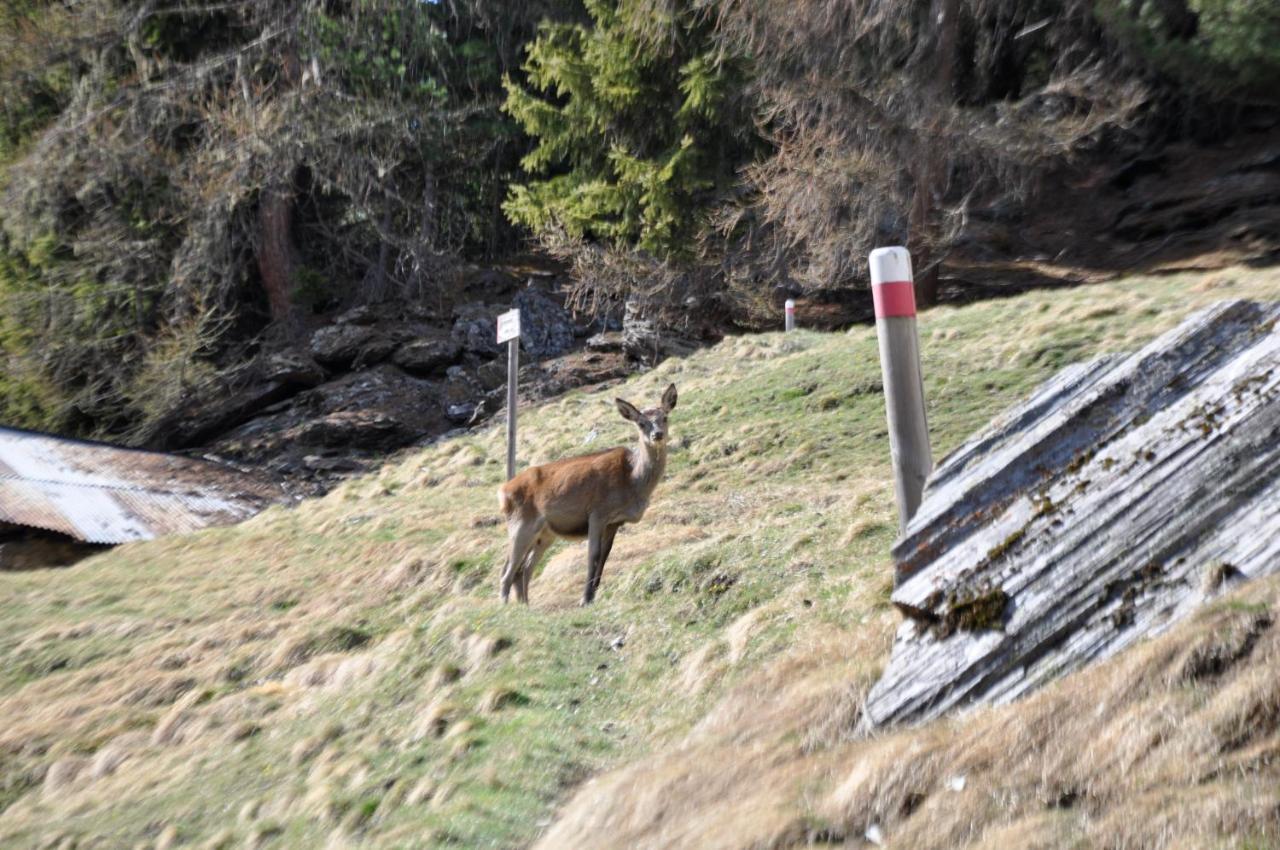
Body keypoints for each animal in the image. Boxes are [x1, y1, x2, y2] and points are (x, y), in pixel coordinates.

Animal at [494, 381, 680, 606]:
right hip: (521, 525)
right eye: (641, 423)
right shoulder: (597, 513)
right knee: (507, 571)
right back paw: (504, 606)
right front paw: (584, 599)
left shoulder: (615, 522)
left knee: (523, 570)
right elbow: (593, 555)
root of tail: (502, 491)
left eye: (665, 417)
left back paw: (525, 606)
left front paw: (592, 597)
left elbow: (605, 556)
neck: (632, 482)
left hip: (544, 534)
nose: (657, 435)